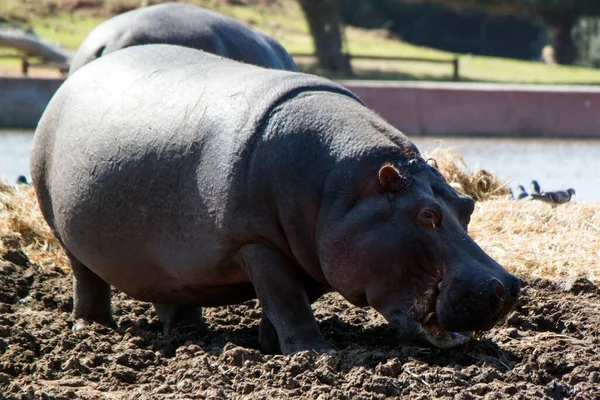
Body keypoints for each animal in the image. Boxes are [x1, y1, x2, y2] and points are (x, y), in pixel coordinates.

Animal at [32, 45, 516, 354]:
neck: (344, 190)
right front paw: (315, 354)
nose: (509, 286)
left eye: (467, 206)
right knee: (87, 281)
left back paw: (189, 335)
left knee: (172, 293)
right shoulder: (258, 243)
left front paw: (269, 345)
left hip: (160, 261)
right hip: (62, 229)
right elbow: (287, 299)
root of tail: (74, 78)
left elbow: (288, 300)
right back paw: (92, 330)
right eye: (427, 215)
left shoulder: (310, 252)